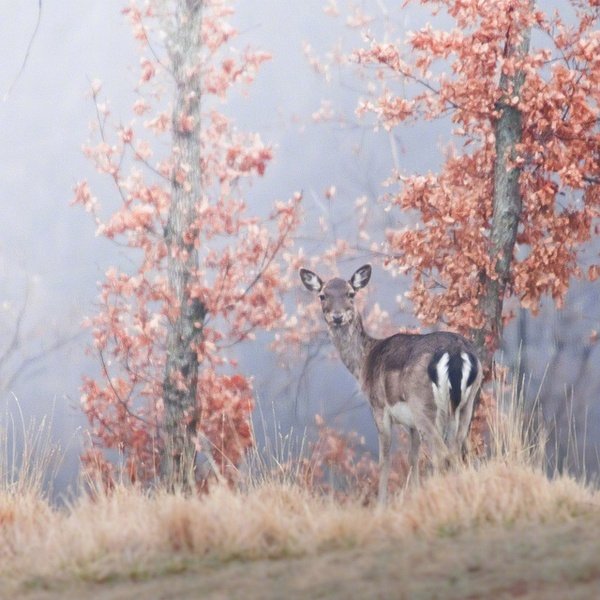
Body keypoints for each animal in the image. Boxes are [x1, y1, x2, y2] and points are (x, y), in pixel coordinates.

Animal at [300, 264, 482, 504]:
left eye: (351, 293)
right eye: (323, 295)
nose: (337, 317)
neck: (364, 362)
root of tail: (456, 352)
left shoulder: (379, 407)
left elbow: (384, 459)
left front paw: (381, 504)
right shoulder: (411, 424)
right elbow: (412, 458)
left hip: (423, 404)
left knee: (442, 453)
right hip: (466, 404)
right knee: (458, 451)